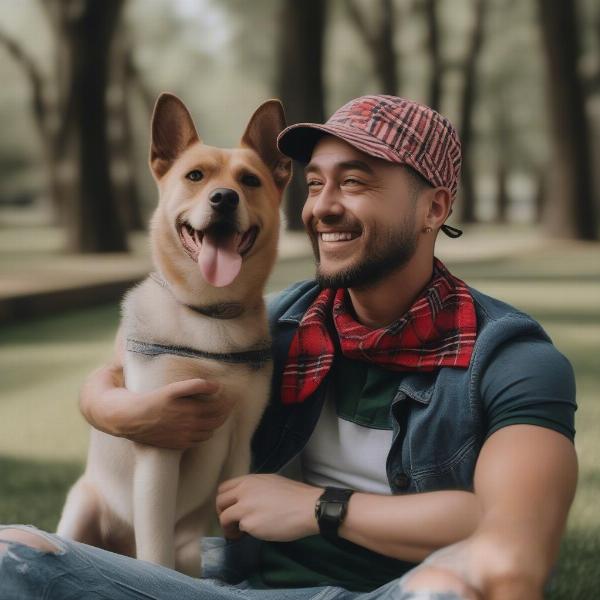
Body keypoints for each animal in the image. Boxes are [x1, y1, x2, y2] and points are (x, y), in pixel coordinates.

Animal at [57, 94, 292, 576]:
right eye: (195, 176)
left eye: (250, 180)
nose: (224, 198)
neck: (210, 315)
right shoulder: (160, 448)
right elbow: (155, 551)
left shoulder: (241, 444)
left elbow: (237, 525)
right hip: (81, 506)